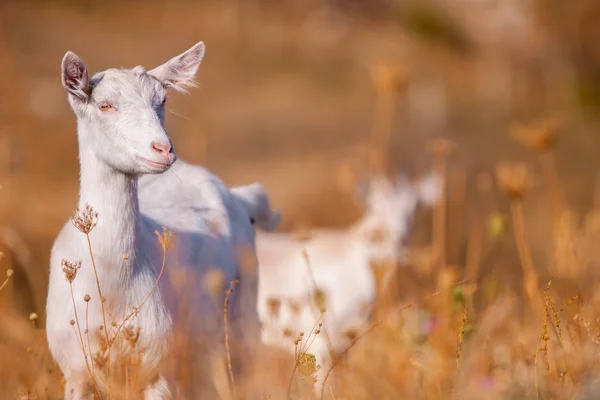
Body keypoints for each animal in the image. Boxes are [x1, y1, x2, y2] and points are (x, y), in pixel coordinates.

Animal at [48, 42, 258, 398]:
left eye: (163, 100)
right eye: (105, 105)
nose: (162, 149)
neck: (111, 286)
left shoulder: (158, 370)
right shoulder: (75, 372)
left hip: (241, 324)